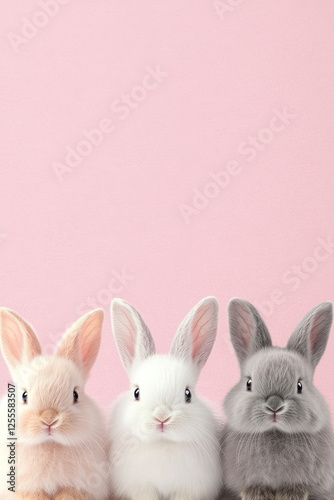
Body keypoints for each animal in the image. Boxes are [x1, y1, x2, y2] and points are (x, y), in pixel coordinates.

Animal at [0, 306, 109, 498]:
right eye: (24, 396)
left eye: (75, 395)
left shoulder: (78, 488)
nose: (49, 419)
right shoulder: (26, 490)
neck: (50, 445)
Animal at [108, 296, 222, 500]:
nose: (162, 417)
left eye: (188, 394)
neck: (163, 443)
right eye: (136, 393)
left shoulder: (190, 488)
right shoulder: (141, 486)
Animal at [222, 298, 334, 498]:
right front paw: (256, 494)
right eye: (249, 383)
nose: (274, 406)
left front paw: (291, 495)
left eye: (299, 386)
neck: (275, 432)